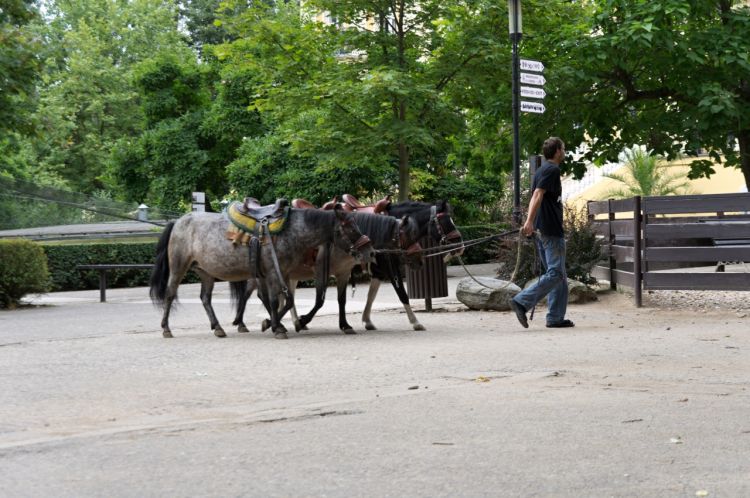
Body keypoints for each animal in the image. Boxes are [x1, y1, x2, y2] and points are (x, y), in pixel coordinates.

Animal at [150, 205, 376, 338]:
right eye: (351, 228)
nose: (370, 251)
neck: (290, 231)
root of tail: (177, 221)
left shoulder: (283, 273)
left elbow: (287, 301)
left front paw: (275, 323)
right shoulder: (275, 273)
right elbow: (277, 301)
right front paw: (277, 326)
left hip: (206, 272)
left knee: (205, 298)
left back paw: (218, 327)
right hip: (179, 266)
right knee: (170, 294)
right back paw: (166, 328)